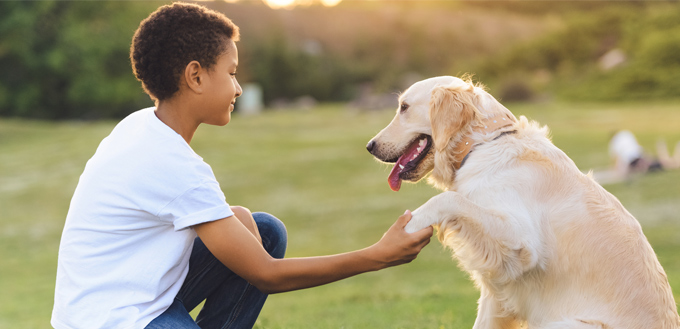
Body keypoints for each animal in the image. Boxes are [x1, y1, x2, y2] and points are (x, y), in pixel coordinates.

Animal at [366, 75, 680, 326]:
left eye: (404, 107)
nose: (370, 146)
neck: (482, 144)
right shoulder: (496, 295)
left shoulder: (522, 243)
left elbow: (448, 199)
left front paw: (408, 226)